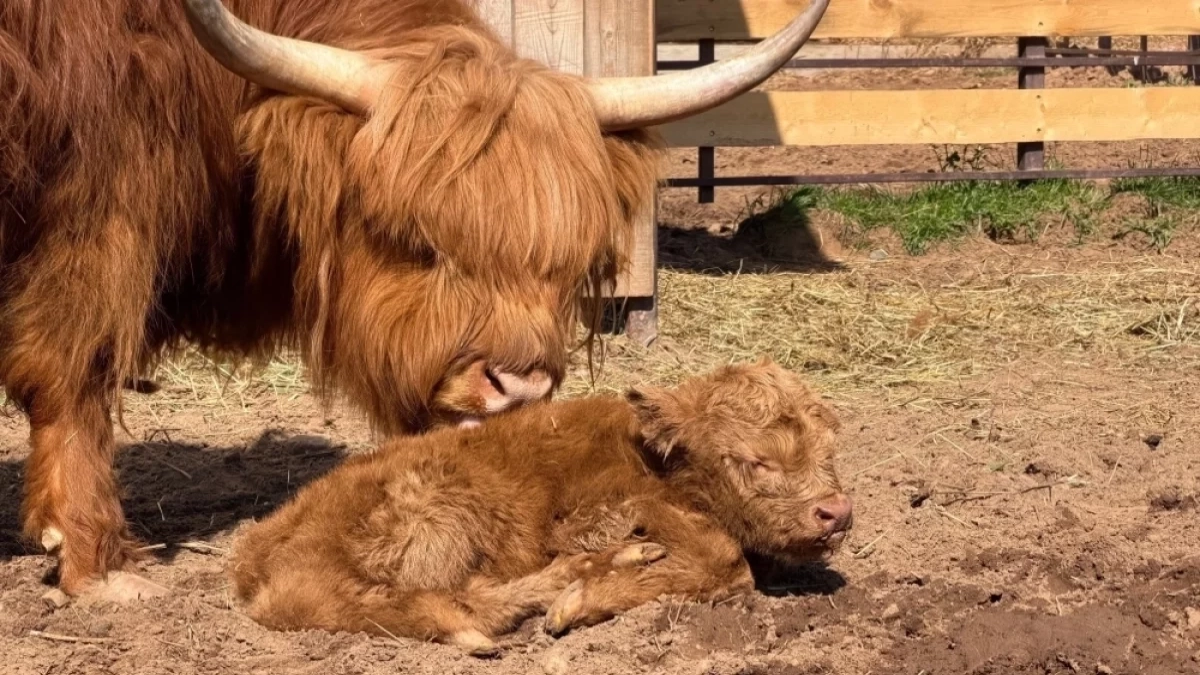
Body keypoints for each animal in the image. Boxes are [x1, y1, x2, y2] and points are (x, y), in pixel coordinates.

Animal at [1, 0, 830, 603]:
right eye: (422, 243)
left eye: (565, 266)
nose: (516, 386)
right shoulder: (96, 214)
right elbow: (73, 365)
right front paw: (95, 561)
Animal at [229, 359, 853, 655]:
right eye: (755, 461)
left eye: (830, 448)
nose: (836, 513)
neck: (653, 461)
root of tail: (257, 554)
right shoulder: (595, 517)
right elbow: (727, 559)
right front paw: (588, 597)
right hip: (443, 511)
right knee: (455, 603)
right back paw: (581, 579)